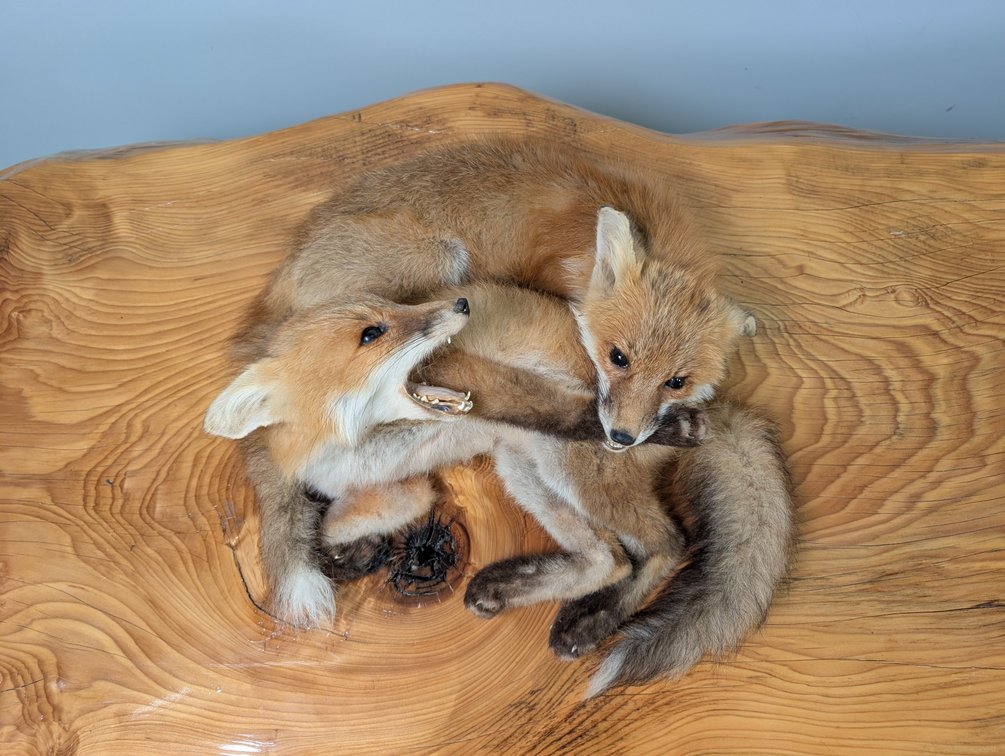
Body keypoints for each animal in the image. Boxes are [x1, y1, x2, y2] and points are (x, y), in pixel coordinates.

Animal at [205, 279, 793, 695]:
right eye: (372, 333)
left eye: (394, 306)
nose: (460, 303)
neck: (359, 449)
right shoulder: (406, 487)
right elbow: (336, 520)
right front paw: (356, 549)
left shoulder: (479, 379)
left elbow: (564, 409)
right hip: (522, 467)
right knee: (606, 559)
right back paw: (511, 591)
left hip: (563, 464)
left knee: (665, 543)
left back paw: (593, 621)